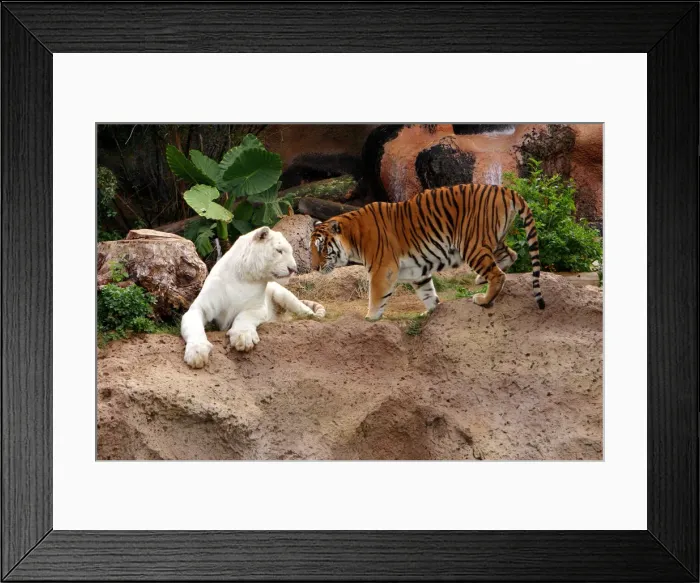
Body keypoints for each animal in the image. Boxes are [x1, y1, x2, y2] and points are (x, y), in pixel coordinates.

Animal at [310, 184, 545, 321]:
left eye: (321, 248)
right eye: (311, 249)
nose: (313, 267)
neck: (352, 237)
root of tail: (505, 189)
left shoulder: (382, 269)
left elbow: (376, 296)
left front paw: (370, 318)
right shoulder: (418, 271)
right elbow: (427, 293)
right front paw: (431, 311)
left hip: (471, 244)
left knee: (498, 274)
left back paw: (483, 299)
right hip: (493, 240)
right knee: (510, 255)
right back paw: (480, 279)